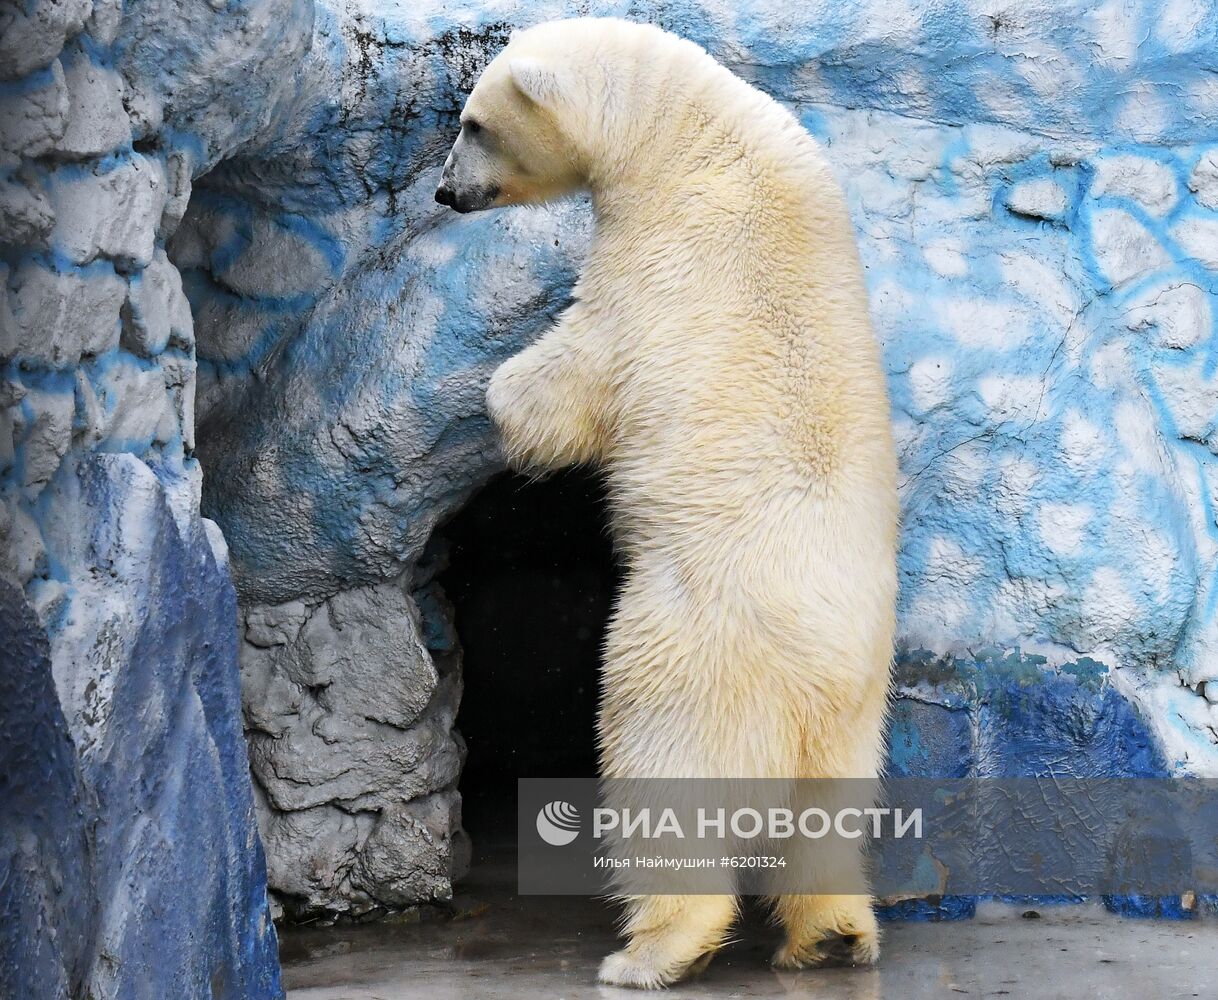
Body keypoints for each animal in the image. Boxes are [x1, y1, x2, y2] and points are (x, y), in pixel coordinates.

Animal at [436, 17, 896, 989]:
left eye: (474, 123)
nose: (444, 190)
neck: (686, 131)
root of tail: (812, 679)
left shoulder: (657, 259)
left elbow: (579, 373)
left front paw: (502, 398)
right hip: (855, 709)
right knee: (827, 821)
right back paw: (832, 935)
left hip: (690, 658)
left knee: (661, 775)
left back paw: (650, 952)